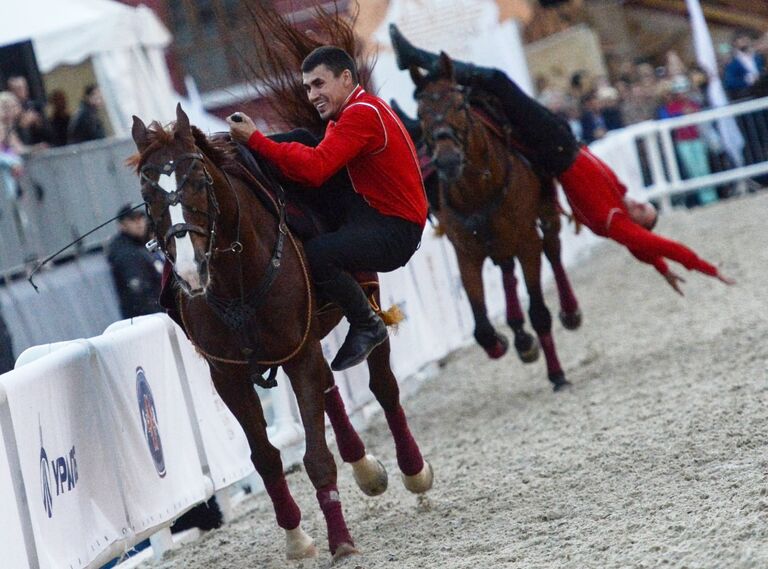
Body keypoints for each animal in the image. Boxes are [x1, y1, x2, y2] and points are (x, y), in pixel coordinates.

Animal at [130, 104, 432, 560]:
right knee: (329, 386)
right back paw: (363, 465)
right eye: (149, 198)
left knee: (383, 384)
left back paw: (413, 469)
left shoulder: (298, 354)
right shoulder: (229, 375)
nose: (188, 270)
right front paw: (296, 536)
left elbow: (317, 457)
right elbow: (267, 457)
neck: (237, 277)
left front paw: (340, 540)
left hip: (368, 294)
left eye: (199, 181)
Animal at [408, 54, 576, 390]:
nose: (446, 159)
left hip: (545, 210)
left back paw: (569, 311)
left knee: (552, 249)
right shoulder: (466, 252)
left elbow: (539, 311)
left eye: (459, 105)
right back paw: (519, 334)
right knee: (507, 268)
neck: (478, 190)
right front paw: (504, 341)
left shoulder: (526, 241)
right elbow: (482, 327)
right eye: (421, 113)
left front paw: (557, 374)